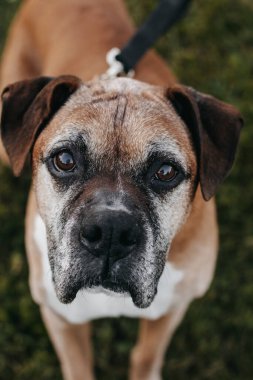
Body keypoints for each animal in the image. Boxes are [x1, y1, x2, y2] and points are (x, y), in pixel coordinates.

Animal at [0, 0, 242, 380]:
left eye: (165, 171)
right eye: (65, 160)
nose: (110, 232)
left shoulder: (172, 307)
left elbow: (145, 355)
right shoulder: (60, 319)